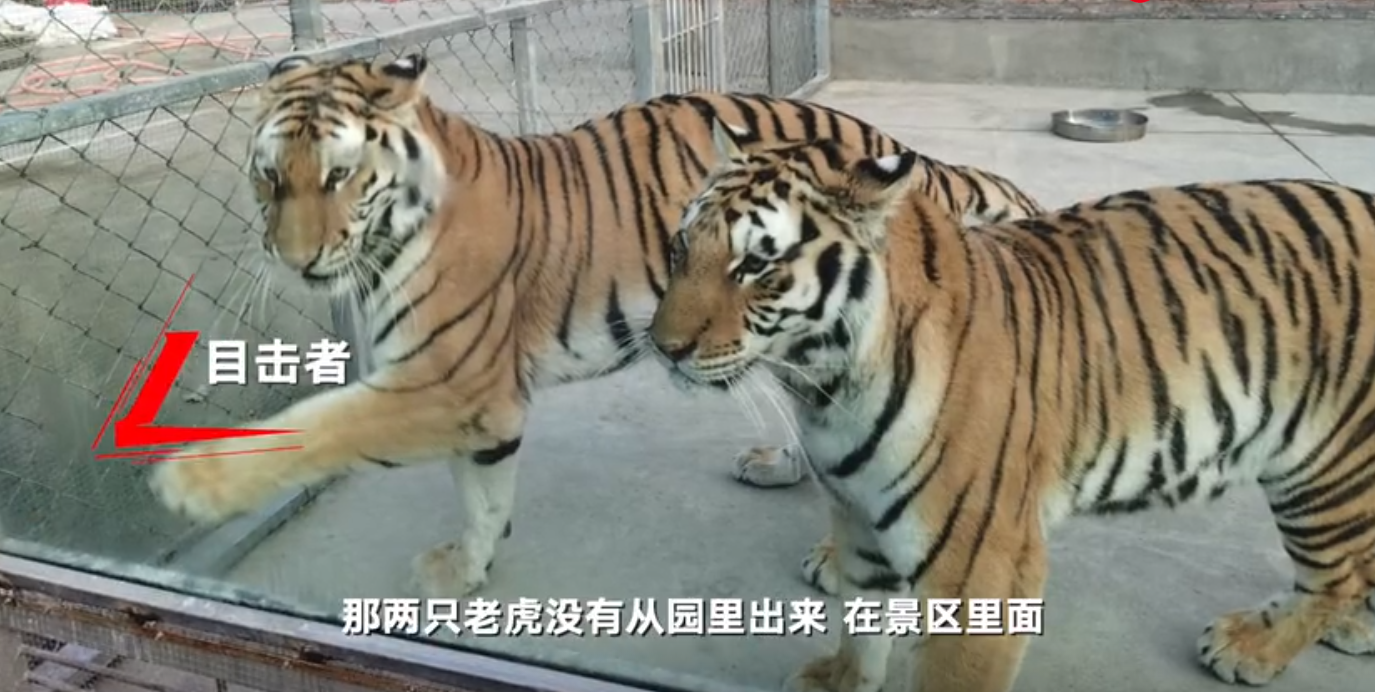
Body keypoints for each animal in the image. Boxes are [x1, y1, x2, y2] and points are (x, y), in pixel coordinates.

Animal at [145, 52, 1045, 600]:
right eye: (268, 178)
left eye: (337, 176)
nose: (296, 260)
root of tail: (899, 152)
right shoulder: (479, 404)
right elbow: (483, 492)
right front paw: (467, 569)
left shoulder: (451, 382)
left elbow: (322, 424)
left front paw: (192, 485)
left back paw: (831, 557)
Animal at [647, 125, 1375, 692]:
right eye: (681, 247)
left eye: (753, 266)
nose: (663, 347)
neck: (826, 386)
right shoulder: (858, 520)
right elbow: (863, 621)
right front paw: (838, 680)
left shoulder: (981, 571)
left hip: (1322, 465)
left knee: (1331, 576)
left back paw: (1254, 646)